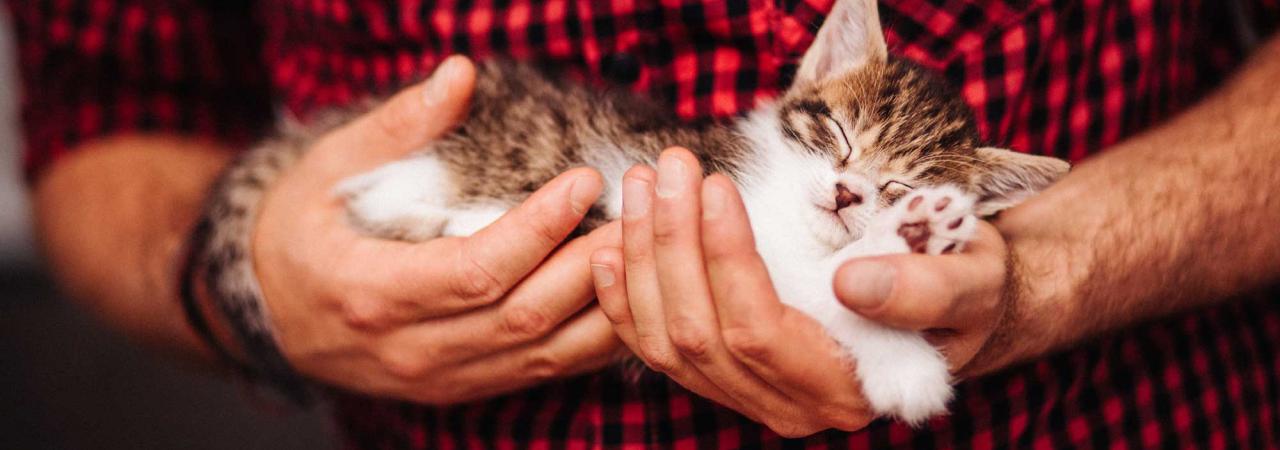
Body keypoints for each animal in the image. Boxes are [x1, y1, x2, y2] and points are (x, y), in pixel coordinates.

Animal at [207, 0, 1070, 424]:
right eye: (839, 132)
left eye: (897, 182)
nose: (848, 193)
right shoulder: (723, 204)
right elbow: (811, 277)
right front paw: (905, 353)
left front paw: (918, 230)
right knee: (383, 192)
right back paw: (476, 221)